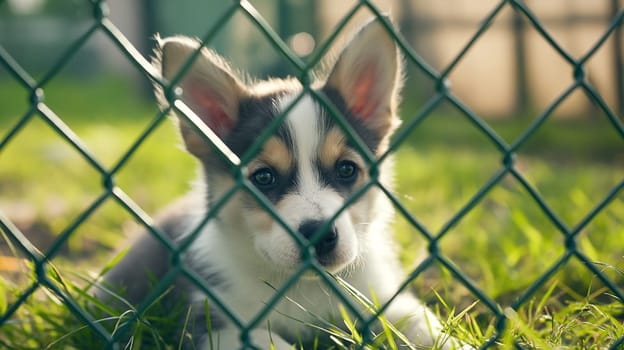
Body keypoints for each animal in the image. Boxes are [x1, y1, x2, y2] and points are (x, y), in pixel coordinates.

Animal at [97, 15, 468, 350]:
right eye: (263, 177)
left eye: (347, 169)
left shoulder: (385, 299)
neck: (301, 289)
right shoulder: (216, 326)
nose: (320, 235)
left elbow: (425, 325)